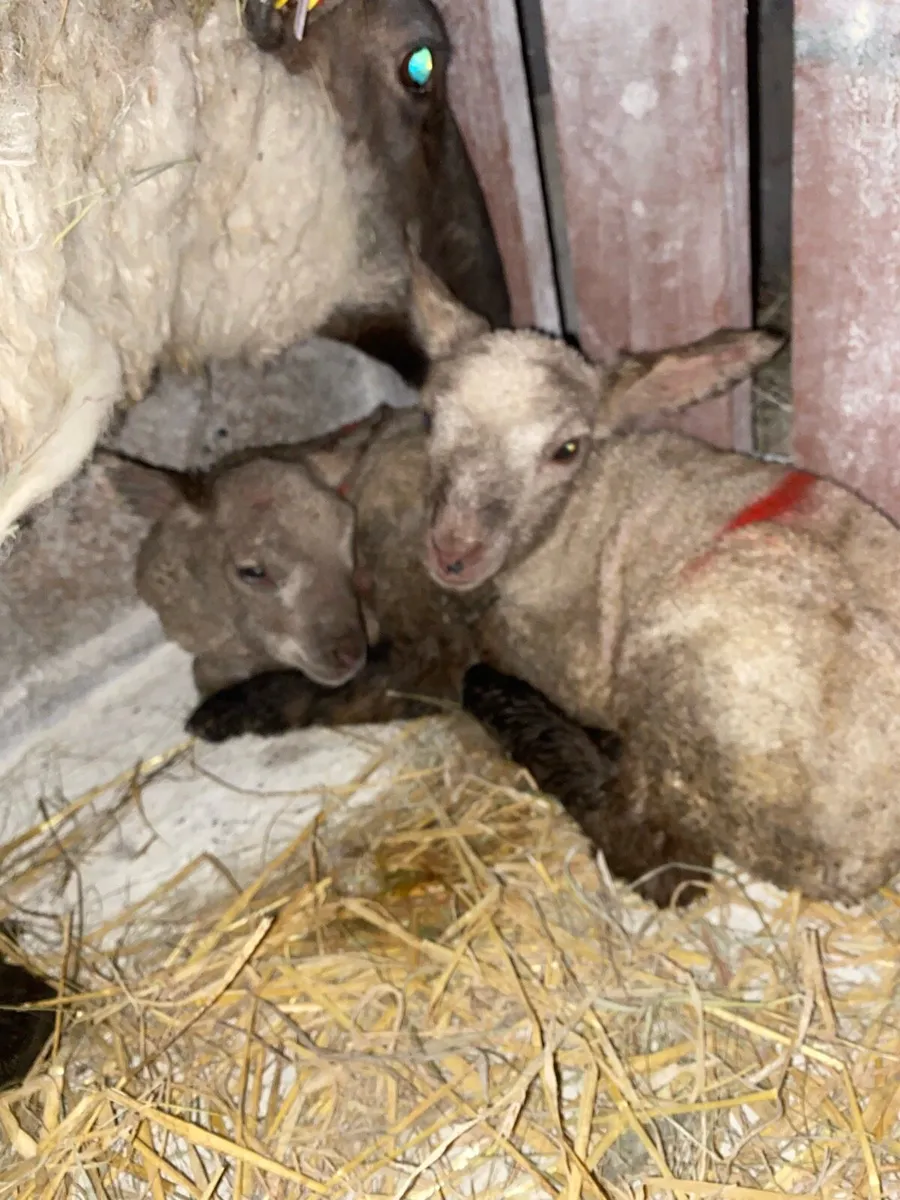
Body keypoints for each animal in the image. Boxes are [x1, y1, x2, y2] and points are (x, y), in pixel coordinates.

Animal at [397, 261, 900, 907]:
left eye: (566, 449)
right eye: (428, 417)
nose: (454, 554)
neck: (575, 511)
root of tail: (856, 861)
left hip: (676, 693)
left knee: (659, 860)